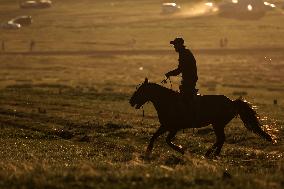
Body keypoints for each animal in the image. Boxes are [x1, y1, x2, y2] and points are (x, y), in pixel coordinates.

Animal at [130, 77, 274, 157]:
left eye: (141, 90)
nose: (131, 101)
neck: (168, 101)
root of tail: (232, 102)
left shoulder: (173, 128)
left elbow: (167, 141)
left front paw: (182, 150)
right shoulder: (165, 126)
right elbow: (154, 137)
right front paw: (148, 151)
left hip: (217, 124)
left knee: (221, 139)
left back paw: (211, 154)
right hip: (218, 125)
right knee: (221, 139)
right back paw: (211, 154)